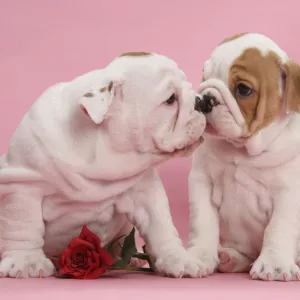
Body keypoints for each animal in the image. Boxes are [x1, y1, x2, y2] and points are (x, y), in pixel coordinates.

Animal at [0, 52, 206, 278]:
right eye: (170, 99)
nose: (202, 100)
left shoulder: (145, 190)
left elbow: (161, 226)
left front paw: (179, 259)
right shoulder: (24, 186)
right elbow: (23, 225)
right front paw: (27, 261)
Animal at [189, 33, 300, 282]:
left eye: (243, 89)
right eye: (204, 75)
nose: (204, 99)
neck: (244, 150)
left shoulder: (290, 194)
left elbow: (278, 228)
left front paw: (274, 264)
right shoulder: (202, 182)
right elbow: (203, 222)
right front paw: (199, 256)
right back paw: (231, 258)